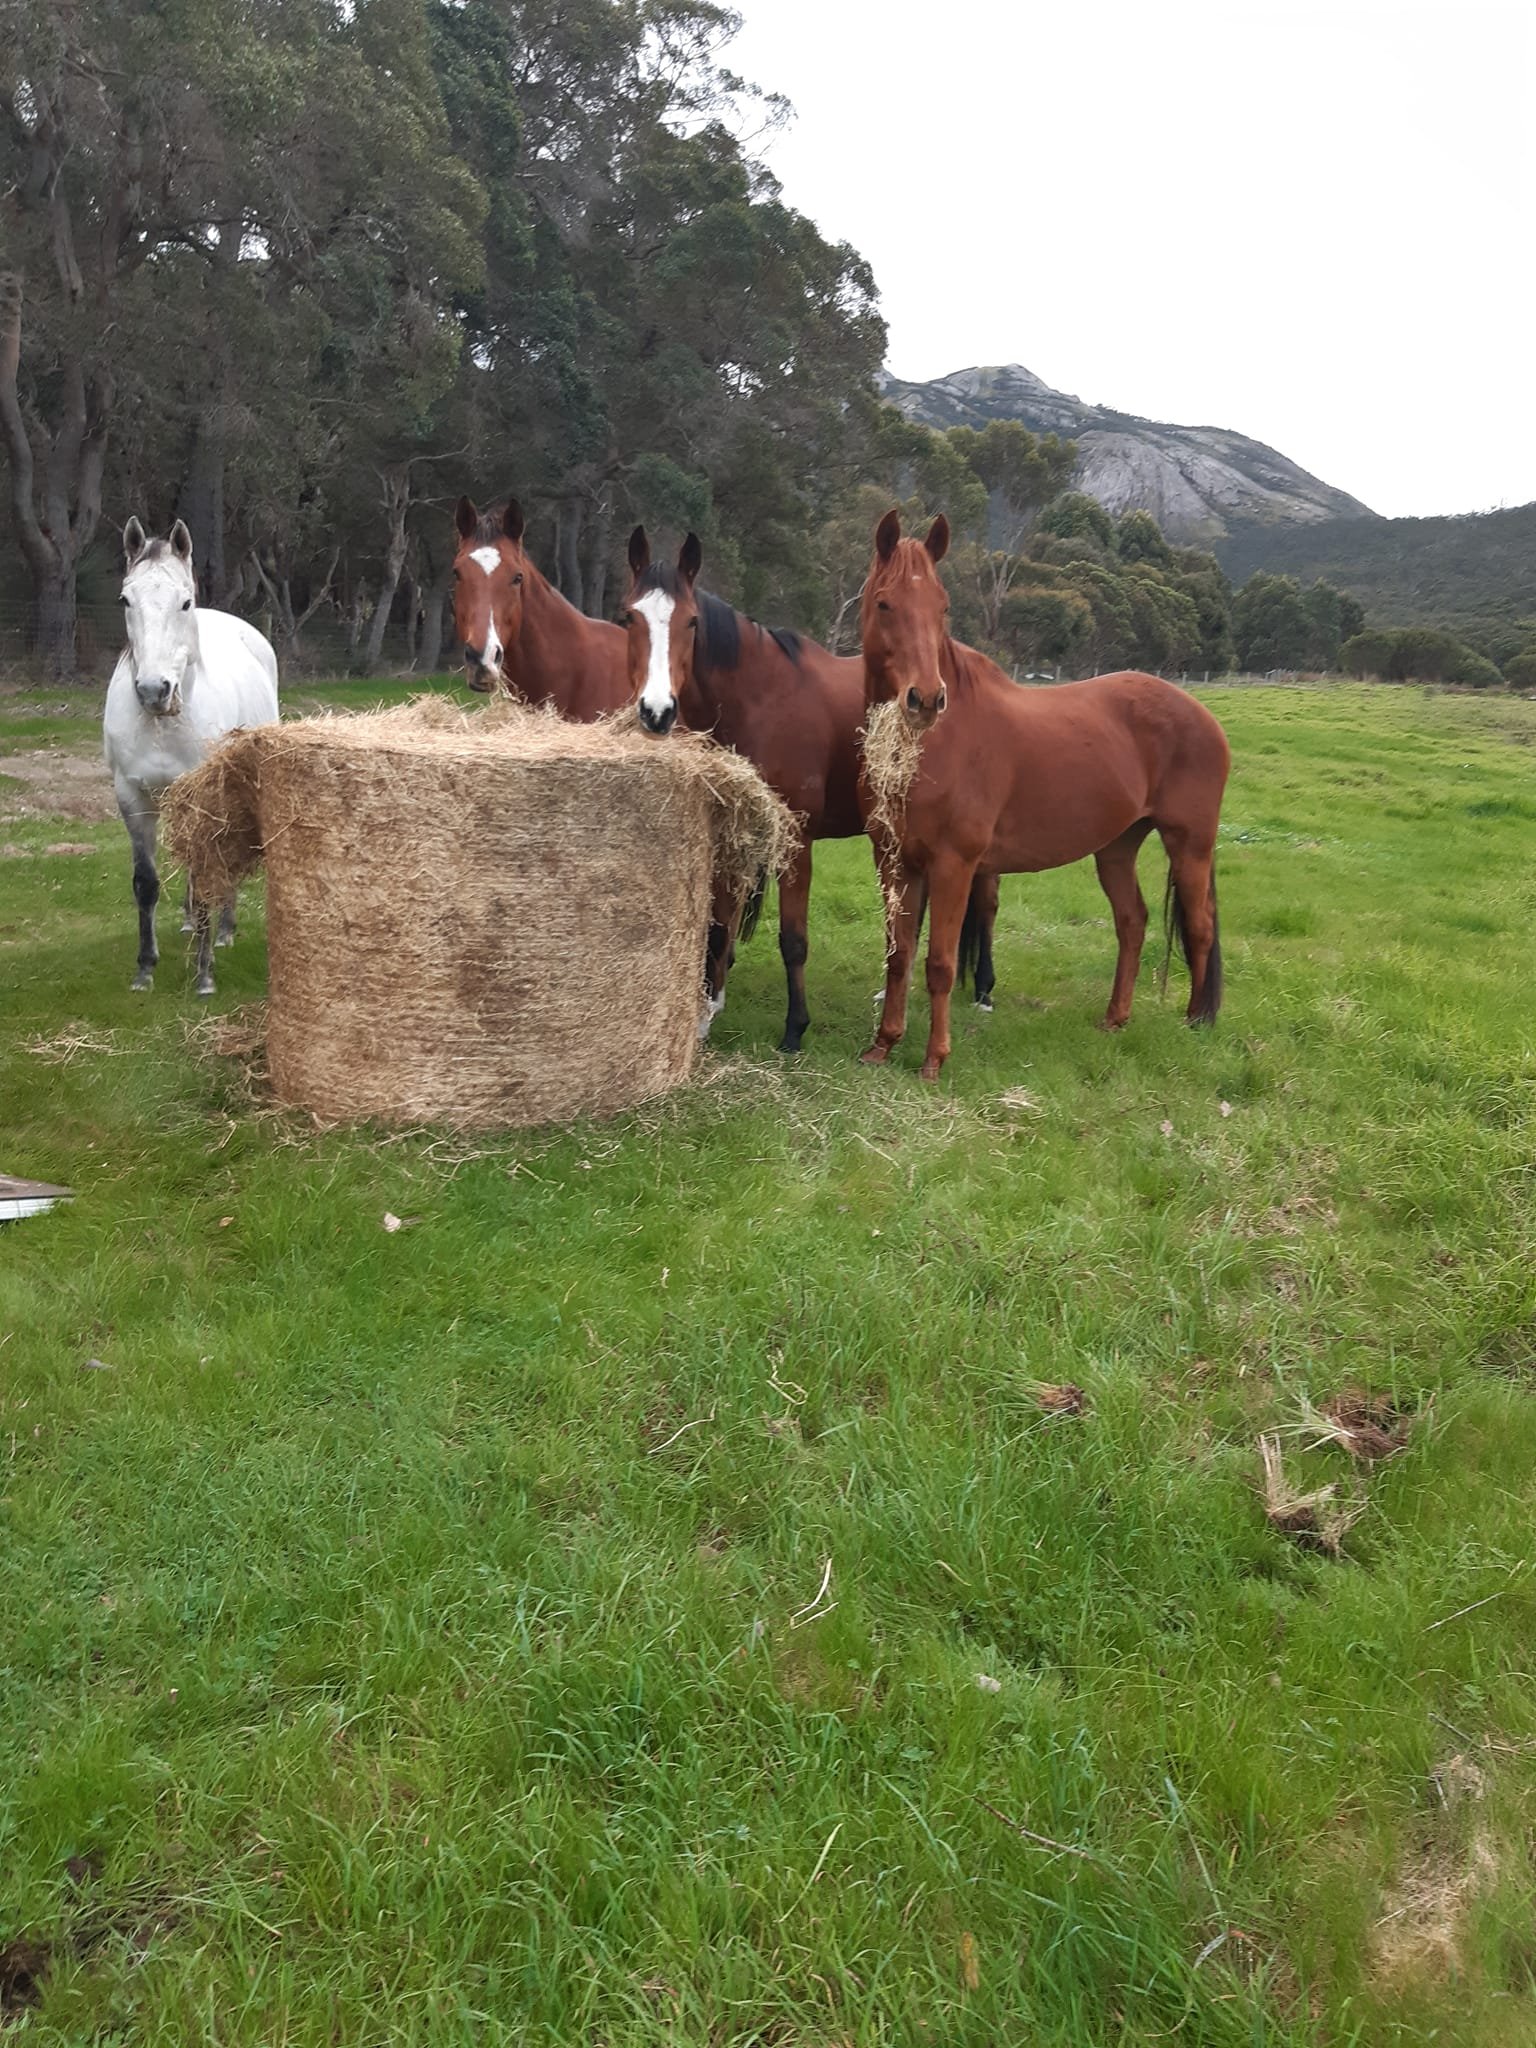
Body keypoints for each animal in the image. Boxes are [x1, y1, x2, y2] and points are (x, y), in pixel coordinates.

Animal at [102, 518, 279, 995]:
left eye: (185, 602)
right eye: (125, 599)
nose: (153, 690)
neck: (163, 725)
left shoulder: (203, 797)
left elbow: (204, 873)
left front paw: (204, 975)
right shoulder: (132, 797)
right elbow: (145, 883)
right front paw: (145, 969)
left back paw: (224, 930)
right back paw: (191, 925)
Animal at [621, 526, 1005, 1051]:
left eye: (692, 622)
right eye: (628, 617)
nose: (656, 711)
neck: (759, 698)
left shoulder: (795, 841)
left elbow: (793, 940)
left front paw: (794, 1028)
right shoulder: (732, 836)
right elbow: (718, 927)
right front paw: (706, 1011)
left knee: (983, 903)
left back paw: (984, 989)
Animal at [859, 508, 1230, 1080]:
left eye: (942, 608)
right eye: (885, 603)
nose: (926, 698)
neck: (938, 745)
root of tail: (1201, 715)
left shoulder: (954, 864)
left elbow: (940, 963)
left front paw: (934, 1060)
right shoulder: (895, 861)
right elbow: (898, 954)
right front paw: (883, 1045)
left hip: (1189, 844)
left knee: (1200, 927)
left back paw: (1197, 1024)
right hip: (1117, 847)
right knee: (1133, 922)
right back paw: (1115, 1019)